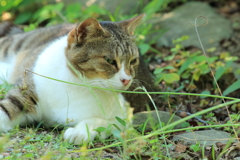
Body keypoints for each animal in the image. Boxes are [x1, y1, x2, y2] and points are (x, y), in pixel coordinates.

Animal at [0, 13, 145, 144]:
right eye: (109, 60)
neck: (79, 83)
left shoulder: (125, 115)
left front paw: (79, 132)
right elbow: (6, 108)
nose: (126, 80)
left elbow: (101, 121)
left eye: (133, 61)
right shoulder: (26, 90)